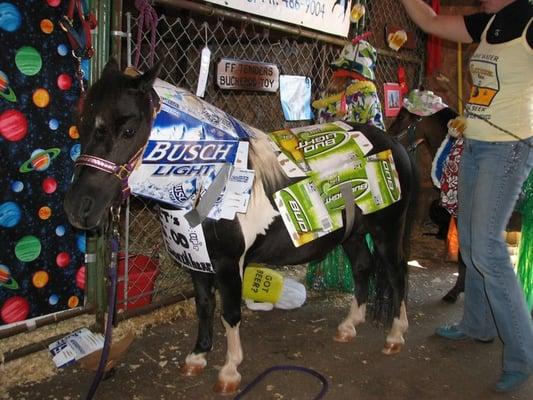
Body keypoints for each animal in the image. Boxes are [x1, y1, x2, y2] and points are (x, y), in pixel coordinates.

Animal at [62, 61, 418, 394]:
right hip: (353, 234)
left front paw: (230, 371)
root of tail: (394, 143)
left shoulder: (228, 264)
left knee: (397, 273)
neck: (212, 174)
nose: (79, 209)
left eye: (128, 130)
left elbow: (230, 313)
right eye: (81, 125)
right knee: (362, 267)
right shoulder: (197, 262)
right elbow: (204, 307)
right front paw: (198, 356)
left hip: (386, 233)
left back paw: (396, 335)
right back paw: (349, 326)